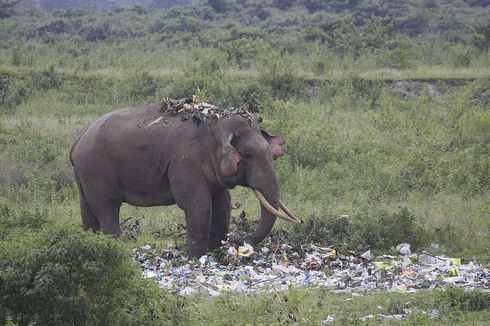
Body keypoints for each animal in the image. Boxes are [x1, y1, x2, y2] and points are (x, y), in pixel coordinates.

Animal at [69, 100, 298, 258]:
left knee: (88, 211)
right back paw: (115, 249)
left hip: (84, 175)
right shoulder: (185, 160)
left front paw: (215, 254)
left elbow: (223, 204)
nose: (239, 240)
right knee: (107, 208)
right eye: (248, 156)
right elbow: (198, 204)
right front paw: (197, 259)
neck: (215, 124)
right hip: (96, 170)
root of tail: (77, 141)